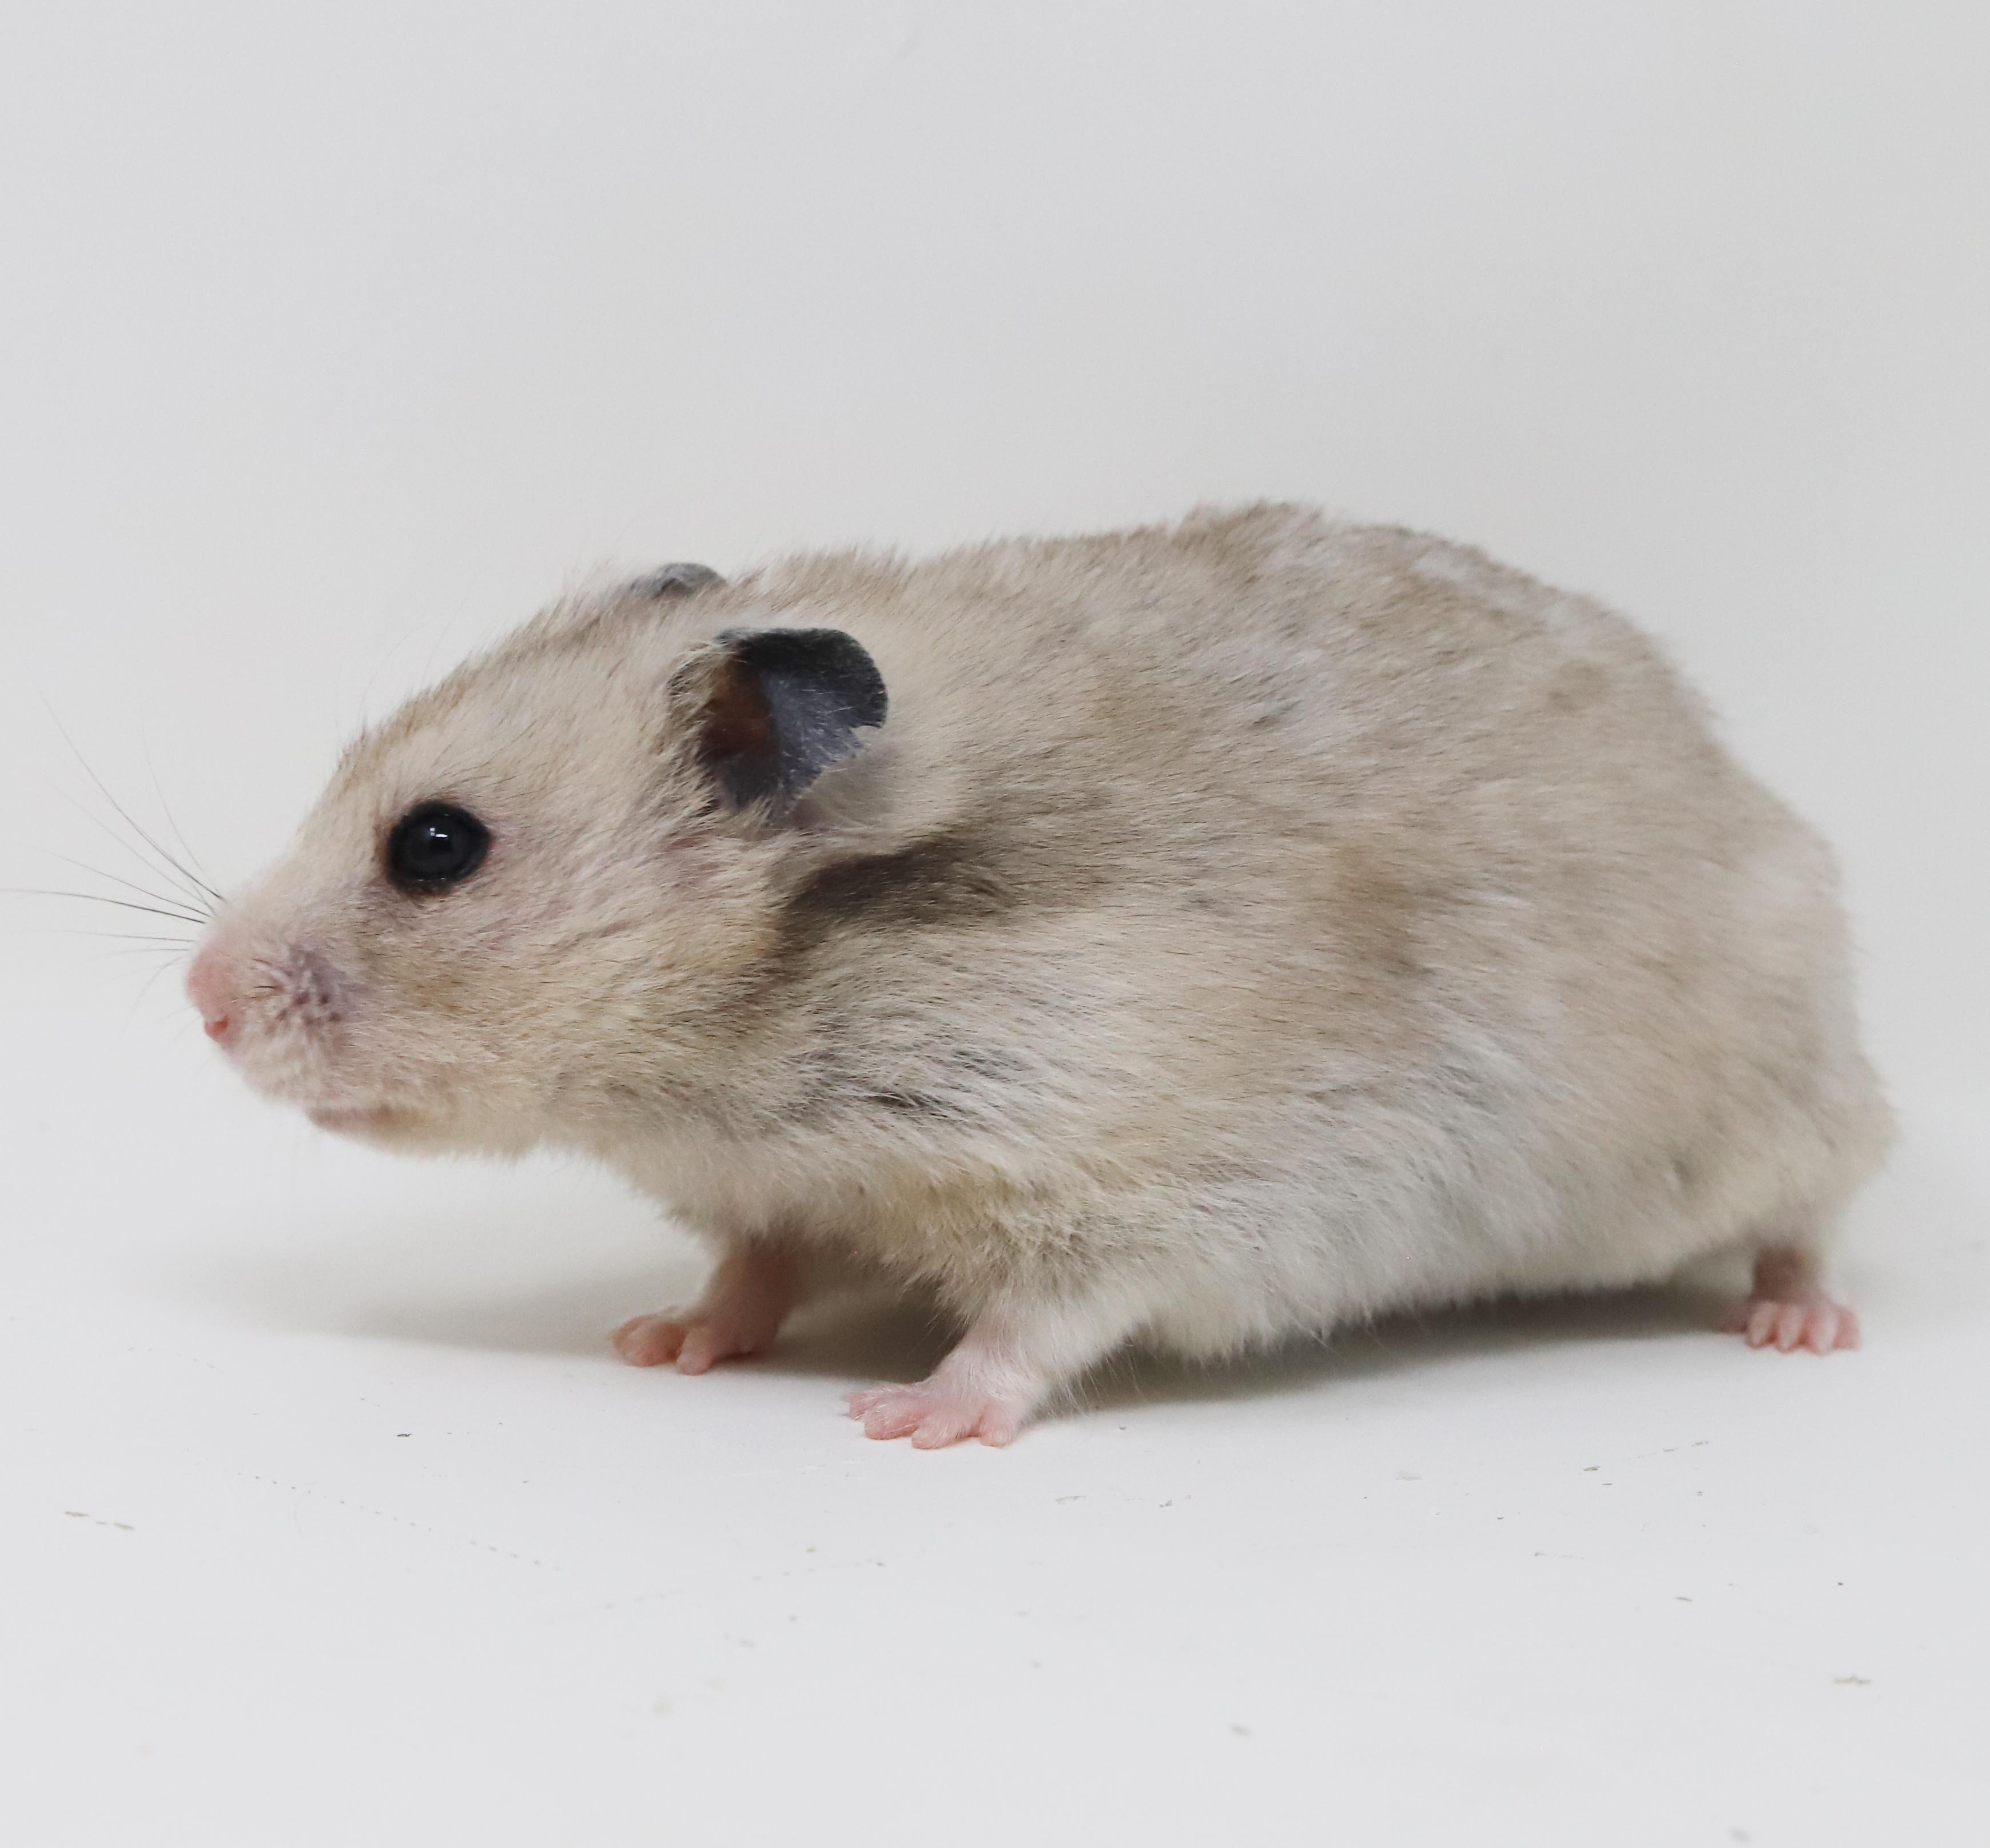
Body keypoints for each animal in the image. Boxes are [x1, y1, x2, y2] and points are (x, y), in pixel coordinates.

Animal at [186, 504, 1891, 1447]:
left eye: (436, 845)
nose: (199, 1001)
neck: (741, 1051)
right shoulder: (772, 1190)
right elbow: (752, 1270)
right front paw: (659, 1343)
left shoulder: (1129, 1183)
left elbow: (1034, 1327)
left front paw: (906, 1417)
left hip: (1771, 1109)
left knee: (1813, 1212)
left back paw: (1802, 1327)